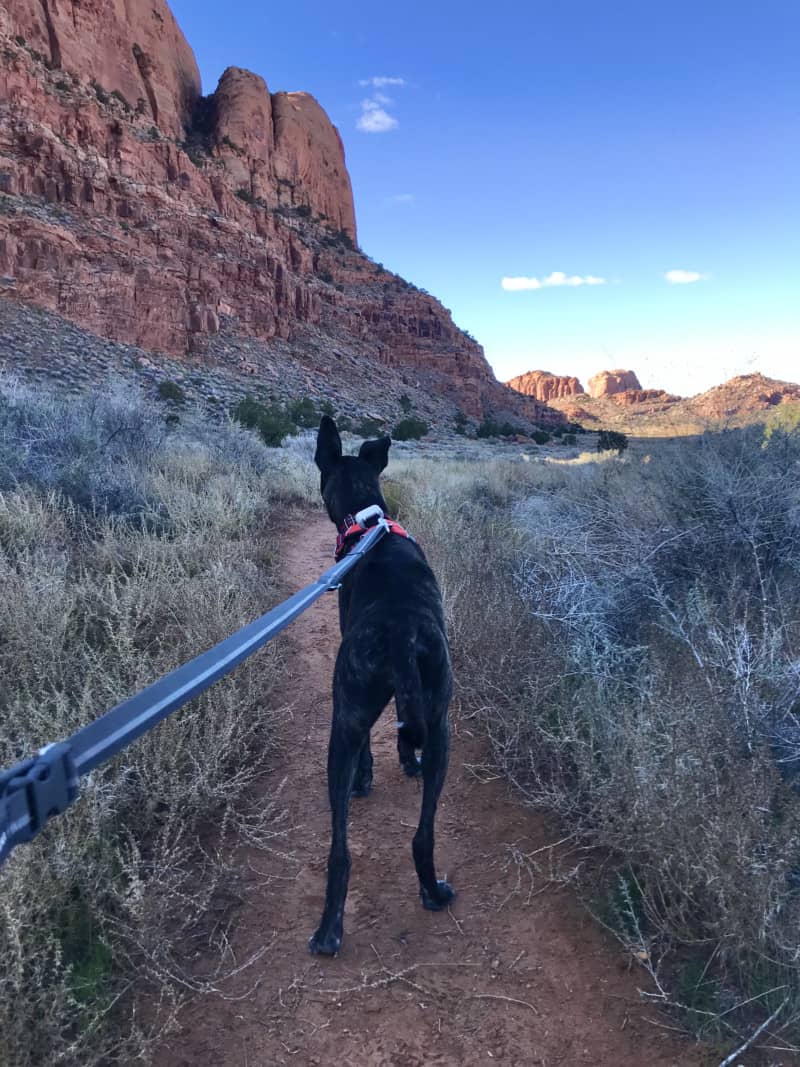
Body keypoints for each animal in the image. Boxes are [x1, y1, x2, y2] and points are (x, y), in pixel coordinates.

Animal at [309, 416, 454, 960]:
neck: (369, 524)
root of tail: (399, 627)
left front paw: (369, 774)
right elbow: (402, 734)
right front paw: (403, 763)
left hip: (346, 721)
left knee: (342, 849)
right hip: (441, 726)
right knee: (420, 836)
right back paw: (429, 893)